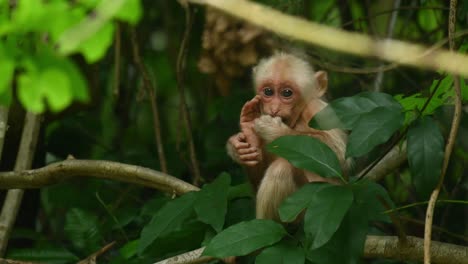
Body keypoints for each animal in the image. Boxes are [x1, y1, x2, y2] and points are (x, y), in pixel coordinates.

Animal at [227, 52, 348, 221]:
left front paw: (274, 129)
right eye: (268, 92)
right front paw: (243, 144)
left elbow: (340, 153)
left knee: (281, 168)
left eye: (287, 93)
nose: (274, 108)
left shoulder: (318, 110)